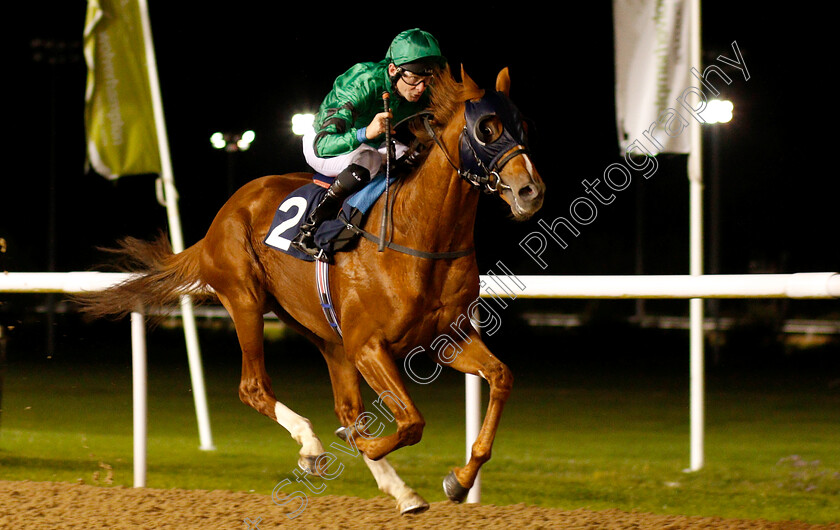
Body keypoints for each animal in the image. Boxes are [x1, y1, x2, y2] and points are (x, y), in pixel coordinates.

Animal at [80, 65, 544, 512]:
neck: (420, 235)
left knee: (348, 406)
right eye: (486, 129)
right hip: (246, 299)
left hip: (324, 333)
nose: (530, 191)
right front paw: (363, 446)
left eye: (522, 124)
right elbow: (411, 421)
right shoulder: (368, 346)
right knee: (255, 387)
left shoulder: (444, 338)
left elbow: (500, 377)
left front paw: (459, 480)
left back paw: (402, 492)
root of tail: (221, 218)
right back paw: (311, 445)